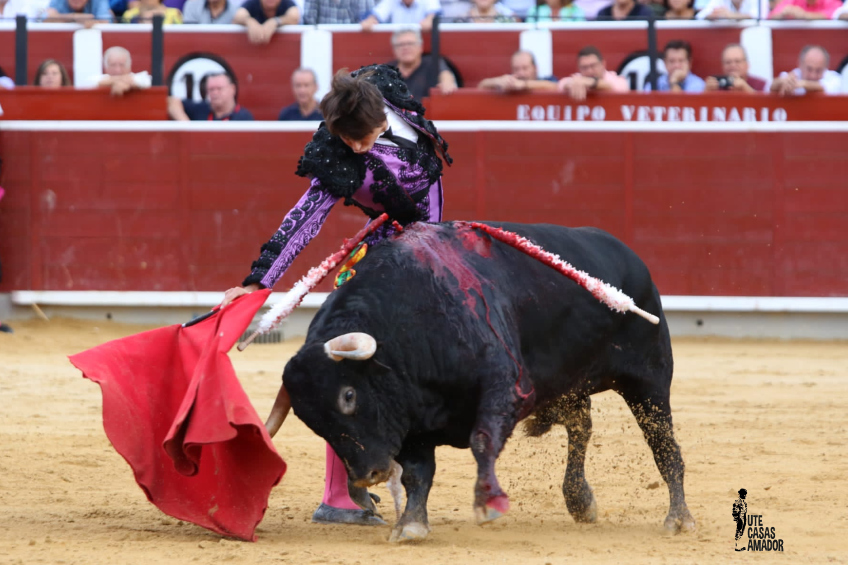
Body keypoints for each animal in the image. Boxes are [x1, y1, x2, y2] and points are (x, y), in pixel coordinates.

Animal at [264, 219, 696, 536]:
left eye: (349, 396)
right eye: (313, 423)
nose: (368, 475)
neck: (408, 321)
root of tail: (630, 257)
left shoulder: (504, 389)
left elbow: (482, 440)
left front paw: (488, 501)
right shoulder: (411, 418)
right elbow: (418, 473)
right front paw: (411, 525)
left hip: (649, 381)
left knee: (663, 445)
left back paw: (678, 518)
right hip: (569, 385)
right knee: (580, 426)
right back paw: (580, 500)